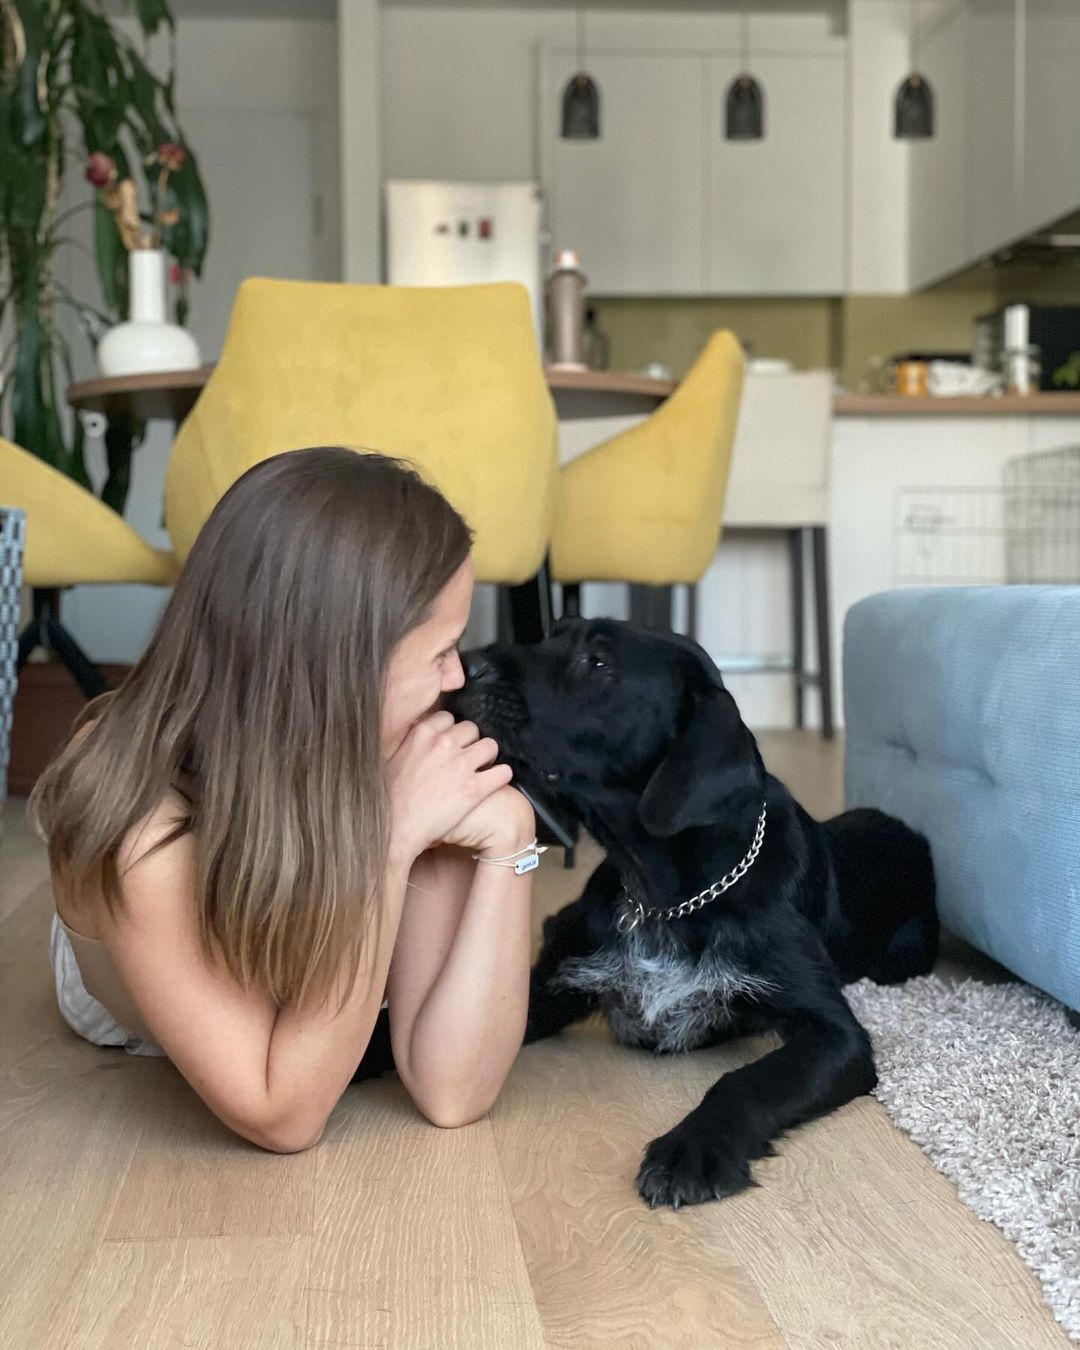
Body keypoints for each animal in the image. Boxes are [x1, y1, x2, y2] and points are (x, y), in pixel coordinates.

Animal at [448, 621, 934, 1215]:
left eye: (598, 662)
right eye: (551, 635)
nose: (464, 663)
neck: (665, 895)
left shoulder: (835, 1034)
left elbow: (747, 1080)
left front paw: (692, 1148)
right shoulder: (549, 989)